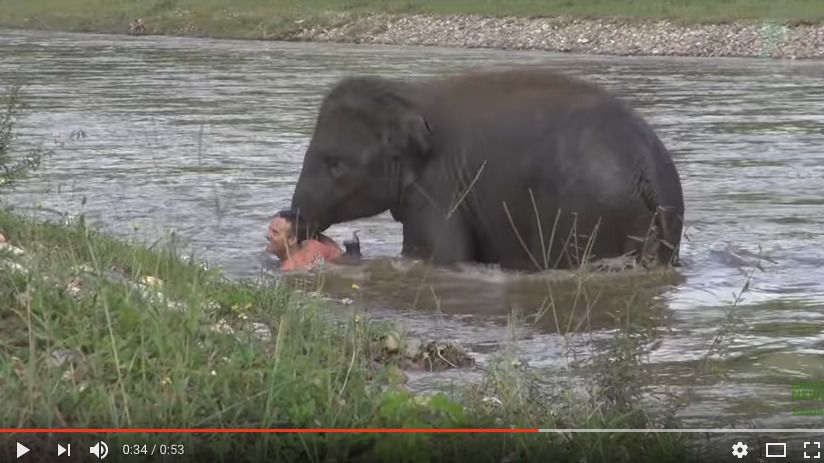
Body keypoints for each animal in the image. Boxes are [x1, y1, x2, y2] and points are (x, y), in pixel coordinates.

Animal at [289, 69, 685, 272]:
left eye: (335, 165)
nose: (289, 222)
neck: (408, 95)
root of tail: (647, 172)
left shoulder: (440, 189)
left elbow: (441, 256)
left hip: (586, 214)